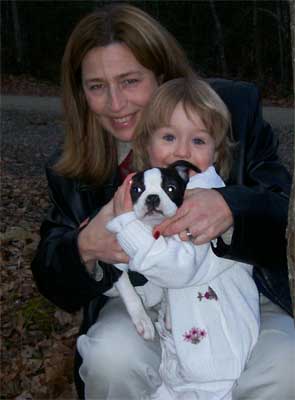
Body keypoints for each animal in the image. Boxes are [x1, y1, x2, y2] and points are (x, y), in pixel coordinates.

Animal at [106, 161, 201, 340]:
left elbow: (168, 287)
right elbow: (129, 292)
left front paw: (170, 314)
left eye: (171, 188)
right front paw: (142, 320)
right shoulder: (112, 261)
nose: (152, 197)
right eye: (136, 189)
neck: (150, 227)